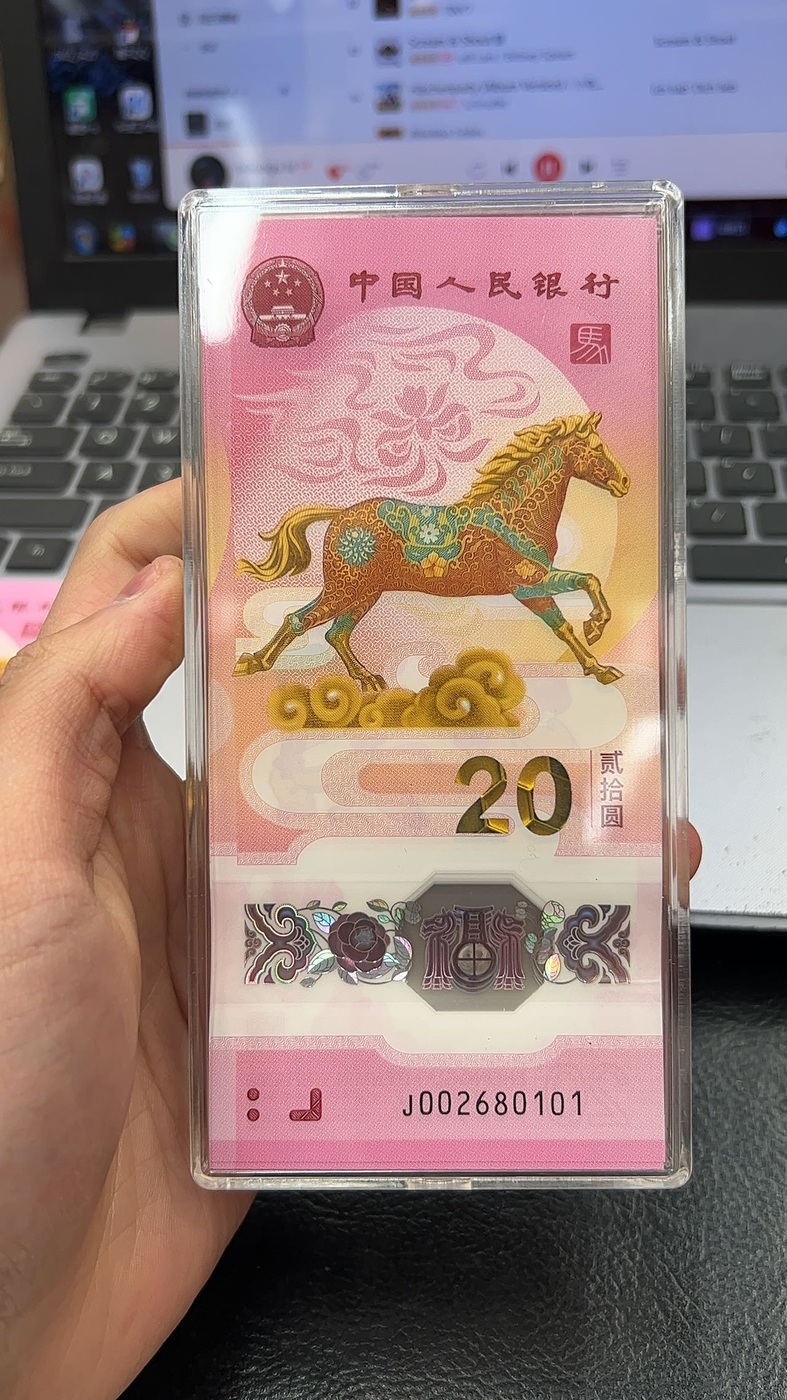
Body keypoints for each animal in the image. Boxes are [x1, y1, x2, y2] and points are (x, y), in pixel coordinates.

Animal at [235, 411, 630, 690]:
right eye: (597, 448)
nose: (624, 481)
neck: (515, 514)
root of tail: (339, 515)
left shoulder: (533, 587)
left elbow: (567, 621)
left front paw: (600, 666)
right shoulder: (527, 586)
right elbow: (586, 586)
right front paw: (595, 628)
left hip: (362, 592)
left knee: (333, 632)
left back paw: (366, 679)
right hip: (345, 588)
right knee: (299, 620)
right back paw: (252, 662)